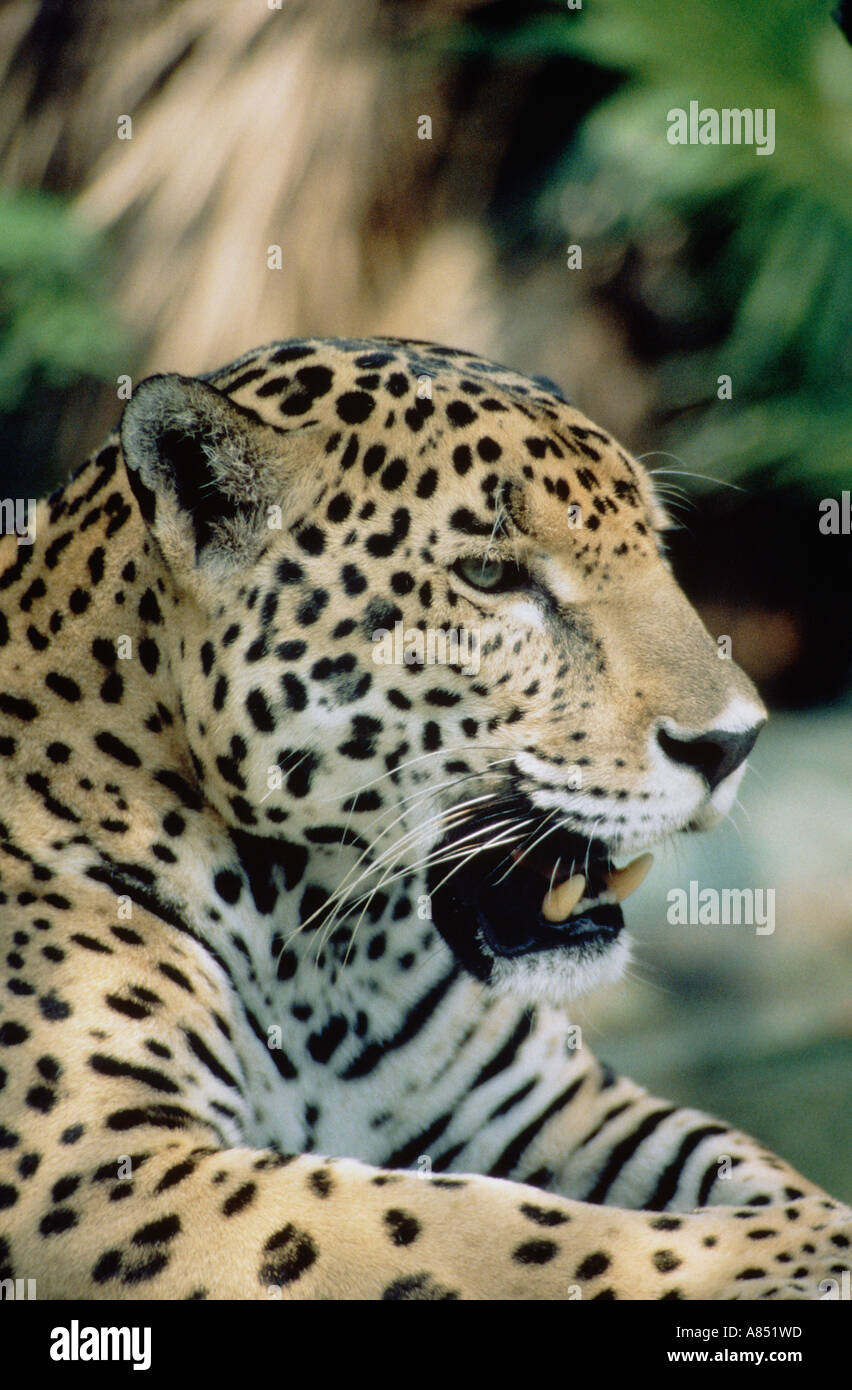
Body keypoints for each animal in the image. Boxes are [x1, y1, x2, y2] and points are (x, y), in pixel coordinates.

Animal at [0, 335, 849, 1301]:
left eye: (658, 548)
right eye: (490, 575)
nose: (734, 742)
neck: (321, 946)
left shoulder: (549, 1104)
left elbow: (731, 1160)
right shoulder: (102, 1173)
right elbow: (500, 1228)